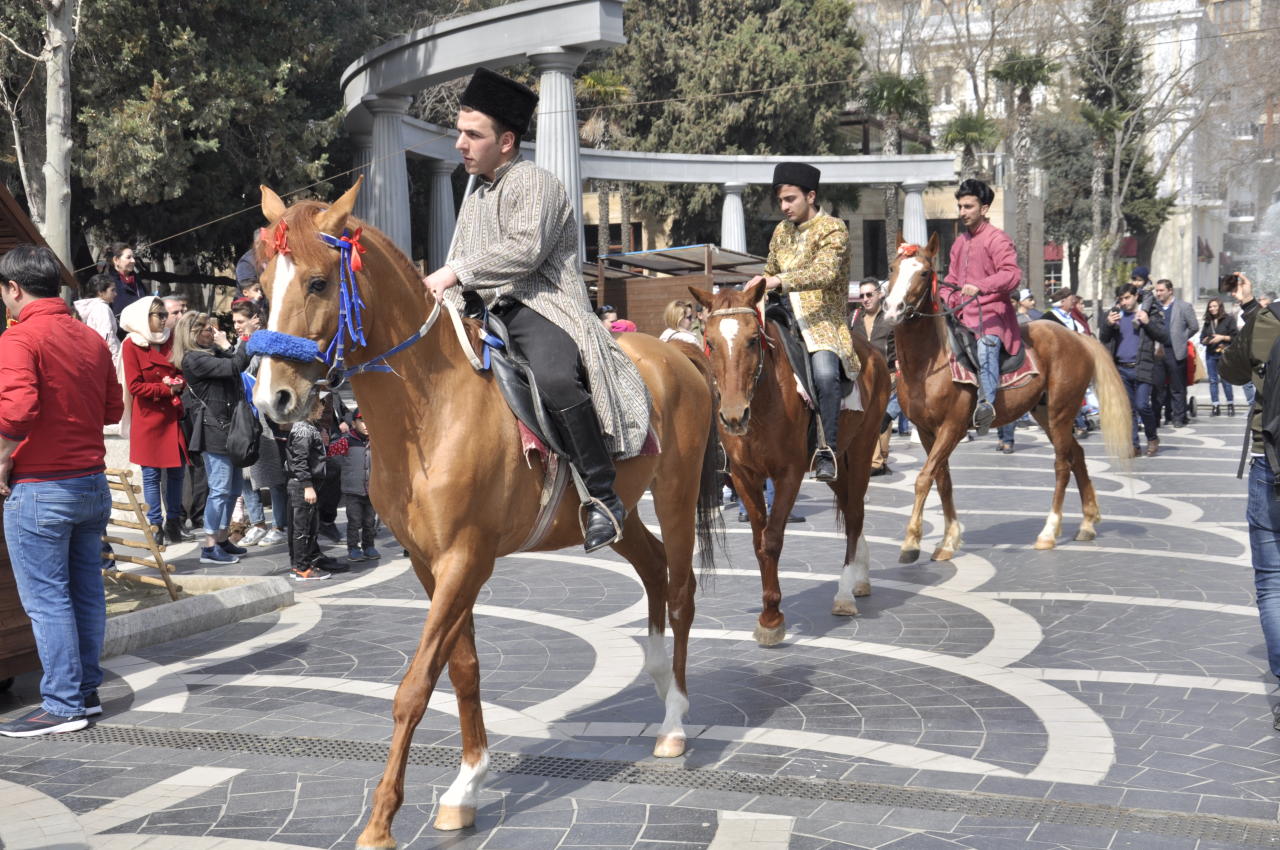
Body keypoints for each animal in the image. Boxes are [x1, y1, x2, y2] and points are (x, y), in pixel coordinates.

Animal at [250, 177, 727, 844]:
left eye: (318, 283)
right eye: (265, 287)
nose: (273, 399)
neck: (430, 403)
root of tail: (680, 354)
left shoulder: (465, 559)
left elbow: (416, 685)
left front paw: (381, 819)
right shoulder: (431, 564)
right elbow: (463, 669)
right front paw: (466, 787)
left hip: (678, 495)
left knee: (680, 589)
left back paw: (675, 721)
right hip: (621, 512)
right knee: (653, 568)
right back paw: (658, 677)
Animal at [691, 281, 890, 647]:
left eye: (752, 340)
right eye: (709, 342)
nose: (733, 416)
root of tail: (871, 352)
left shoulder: (788, 475)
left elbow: (772, 540)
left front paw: (771, 619)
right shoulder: (744, 476)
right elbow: (759, 542)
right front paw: (768, 612)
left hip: (861, 449)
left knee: (855, 514)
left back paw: (845, 592)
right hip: (837, 462)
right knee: (849, 508)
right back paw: (860, 575)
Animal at [880, 235, 1131, 560]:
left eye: (923, 273)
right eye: (893, 267)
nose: (892, 308)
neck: (928, 363)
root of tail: (1077, 337)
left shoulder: (952, 427)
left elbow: (925, 477)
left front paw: (911, 542)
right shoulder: (925, 430)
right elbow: (942, 479)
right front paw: (948, 539)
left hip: (1061, 412)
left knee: (1062, 464)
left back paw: (1048, 532)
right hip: (1044, 413)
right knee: (1077, 454)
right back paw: (1087, 522)